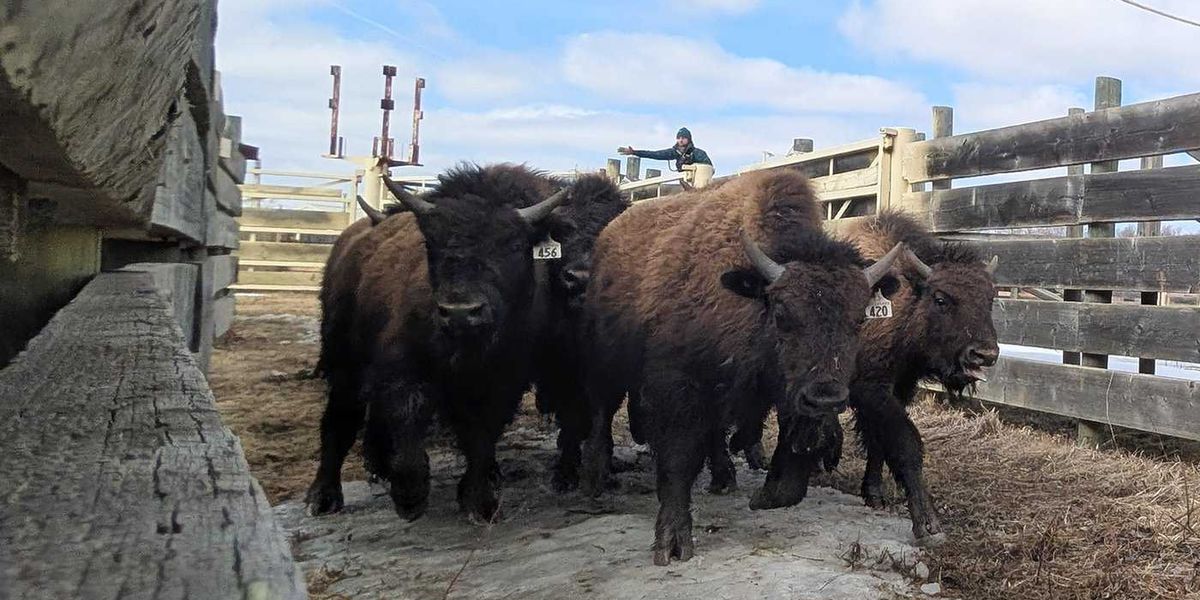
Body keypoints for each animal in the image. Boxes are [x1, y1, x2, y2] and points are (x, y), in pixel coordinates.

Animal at [305, 163, 568, 522]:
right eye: (433, 244)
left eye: (513, 245)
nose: (461, 312)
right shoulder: (404, 372)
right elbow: (408, 431)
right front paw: (409, 498)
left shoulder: (501, 384)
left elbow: (481, 438)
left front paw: (479, 502)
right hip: (343, 359)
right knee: (339, 420)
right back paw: (323, 497)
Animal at [579, 170, 904, 565]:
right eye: (781, 313)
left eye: (860, 319)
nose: (826, 398)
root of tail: (608, 237)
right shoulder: (678, 386)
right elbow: (678, 458)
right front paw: (672, 542)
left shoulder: (783, 394)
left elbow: (792, 469)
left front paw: (764, 495)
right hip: (604, 360)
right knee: (601, 411)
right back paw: (594, 478)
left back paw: (724, 477)